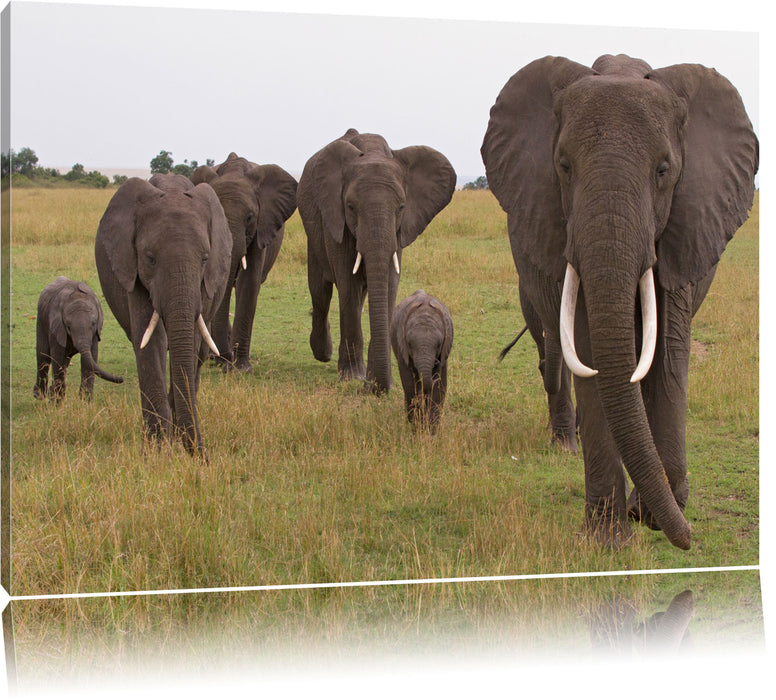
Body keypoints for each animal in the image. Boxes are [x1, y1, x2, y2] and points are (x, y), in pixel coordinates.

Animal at [94, 173, 230, 456]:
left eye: (205, 259)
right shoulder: (132, 271)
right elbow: (150, 341)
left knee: (198, 354)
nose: (204, 457)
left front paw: (172, 444)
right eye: (150, 258)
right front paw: (156, 450)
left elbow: (190, 344)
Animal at [189, 153, 298, 372]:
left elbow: (248, 282)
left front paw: (240, 368)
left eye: (249, 217)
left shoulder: (262, 226)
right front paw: (225, 362)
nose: (227, 360)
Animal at [296, 129, 454, 394]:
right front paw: (353, 377)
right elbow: (347, 285)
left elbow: (389, 284)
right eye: (350, 206)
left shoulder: (400, 230)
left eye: (401, 207)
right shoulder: (336, 220)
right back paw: (323, 354)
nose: (376, 388)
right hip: (313, 231)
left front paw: (380, 381)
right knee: (320, 291)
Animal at [392, 288, 452, 430]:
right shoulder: (402, 348)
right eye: (409, 344)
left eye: (439, 344)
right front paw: (416, 429)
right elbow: (409, 385)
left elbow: (440, 386)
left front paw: (431, 430)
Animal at [478, 53, 756, 548]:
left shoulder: (684, 225)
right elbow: (592, 355)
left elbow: (668, 350)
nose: (689, 538)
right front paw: (609, 540)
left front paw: (653, 514)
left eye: (664, 170)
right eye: (564, 166)